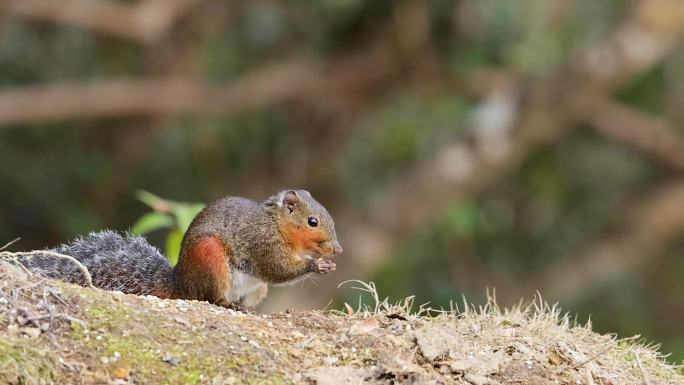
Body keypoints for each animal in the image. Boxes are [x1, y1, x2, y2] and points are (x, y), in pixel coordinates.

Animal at [21, 190, 342, 308]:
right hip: (210, 259)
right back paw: (225, 303)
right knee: (209, 298)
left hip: (255, 290)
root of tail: (182, 283)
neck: (276, 224)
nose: (337, 250)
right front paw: (316, 264)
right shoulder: (262, 243)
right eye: (312, 221)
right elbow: (275, 269)